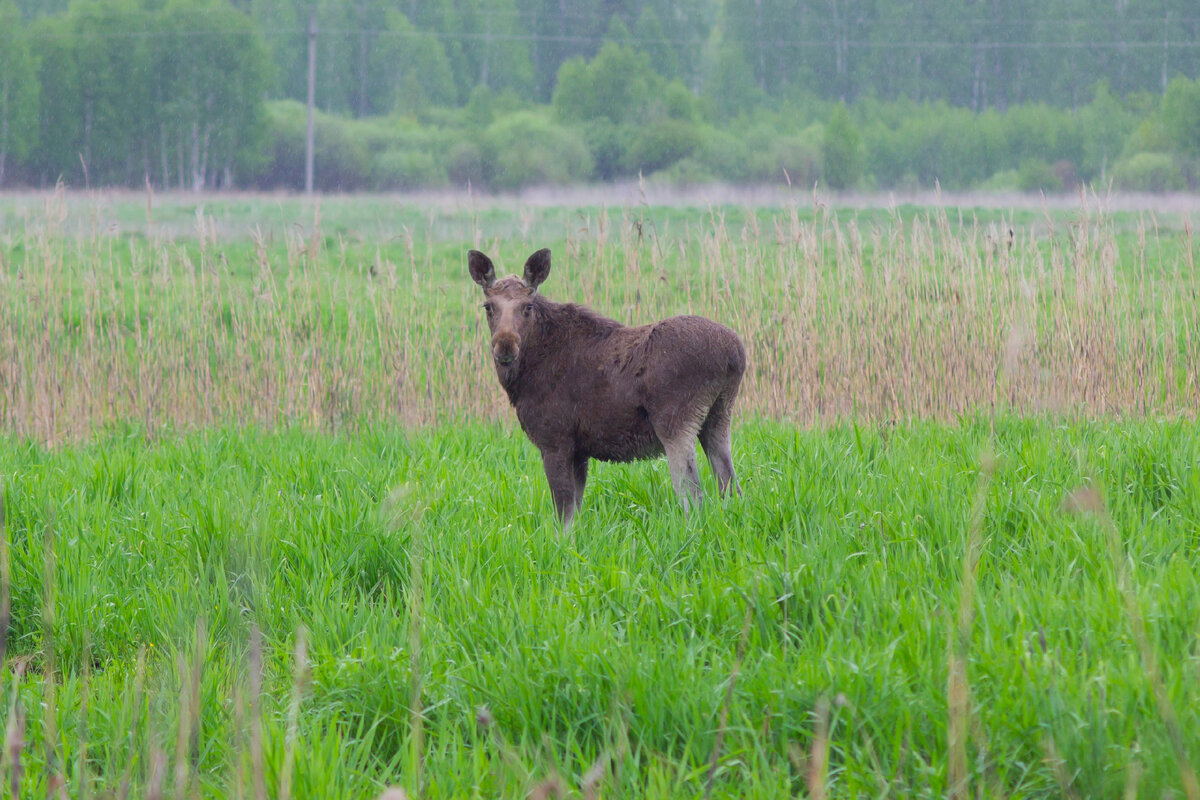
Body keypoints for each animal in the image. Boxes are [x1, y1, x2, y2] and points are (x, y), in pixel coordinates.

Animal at [465, 247, 739, 527]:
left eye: (527, 306)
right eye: (488, 306)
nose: (505, 346)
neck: (521, 381)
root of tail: (735, 354)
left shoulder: (554, 441)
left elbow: (563, 515)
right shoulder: (579, 450)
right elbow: (574, 512)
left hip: (675, 423)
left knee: (693, 495)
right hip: (719, 415)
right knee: (730, 486)